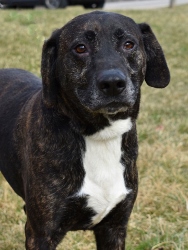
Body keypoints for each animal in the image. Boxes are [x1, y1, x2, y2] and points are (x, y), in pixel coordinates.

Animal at [0, 10, 170, 249]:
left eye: (129, 44)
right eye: (80, 48)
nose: (113, 83)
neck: (99, 135)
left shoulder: (114, 228)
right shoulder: (40, 233)